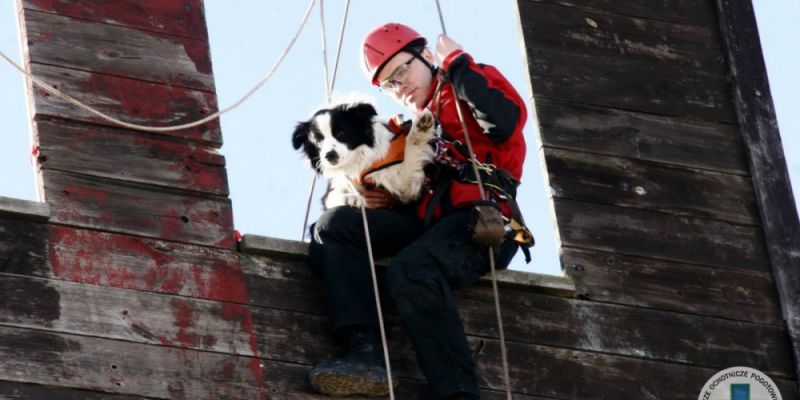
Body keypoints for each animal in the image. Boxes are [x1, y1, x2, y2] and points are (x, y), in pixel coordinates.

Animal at [292, 101, 434, 209]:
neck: (356, 161)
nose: (329, 155)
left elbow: (410, 151)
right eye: (317, 140)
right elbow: (331, 198)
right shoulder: (338, 183)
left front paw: (421, 126)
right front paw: (352, 198)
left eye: (341, 133)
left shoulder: (404, 189)